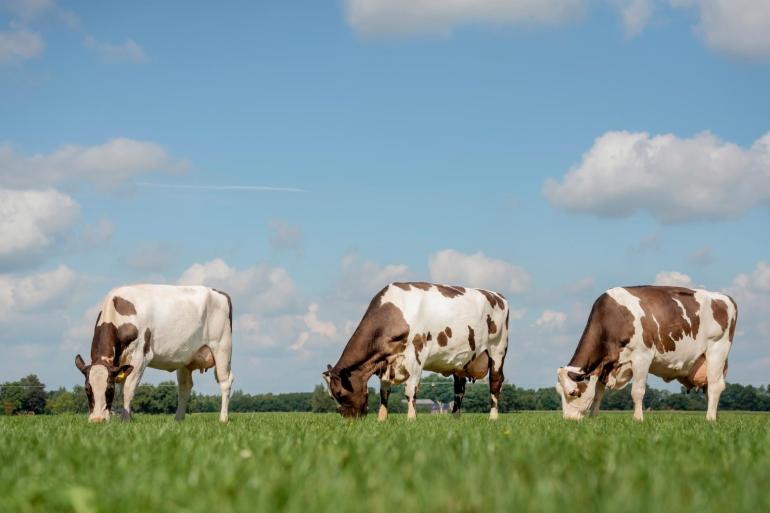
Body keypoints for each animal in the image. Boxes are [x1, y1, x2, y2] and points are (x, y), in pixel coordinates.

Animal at [74, 282, 232, 422]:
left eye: (109, 389)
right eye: (87, 389)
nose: (97, 420)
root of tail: (218, 292)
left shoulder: (140, 356)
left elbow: (128, 389)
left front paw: (125, 420)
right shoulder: (119, 363)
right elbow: (122, 390)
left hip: (222, 347)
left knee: (225, 381)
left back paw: (223, 418)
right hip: (186, 358)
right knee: (185, 387)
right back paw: (178, 419)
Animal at [320, 282, 508, 422]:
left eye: (340, 394)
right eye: (330, 396)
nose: (349, 421)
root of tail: (498, 296)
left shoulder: (416, 354)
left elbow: (410, 389)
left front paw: (411, 419)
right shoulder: (387, 363)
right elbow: (384, 392)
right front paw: (382, 419)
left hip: (498, 350)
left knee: (495, 382)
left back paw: (493, 417)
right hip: (461, 362)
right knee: (459, 390)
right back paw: (455, 418)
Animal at [556, 284, 736, 420]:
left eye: (573, 393)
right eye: (559, 393)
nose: (568, 420)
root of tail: (725, 297)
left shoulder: (642, 356)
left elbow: (637, 391)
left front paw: (638, 419)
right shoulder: (606, 364)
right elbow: (598, 394)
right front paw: (593, 417)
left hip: (717, 350)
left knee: (714, 386)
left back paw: (710, 419)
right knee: (709, 389)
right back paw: (714, 416)